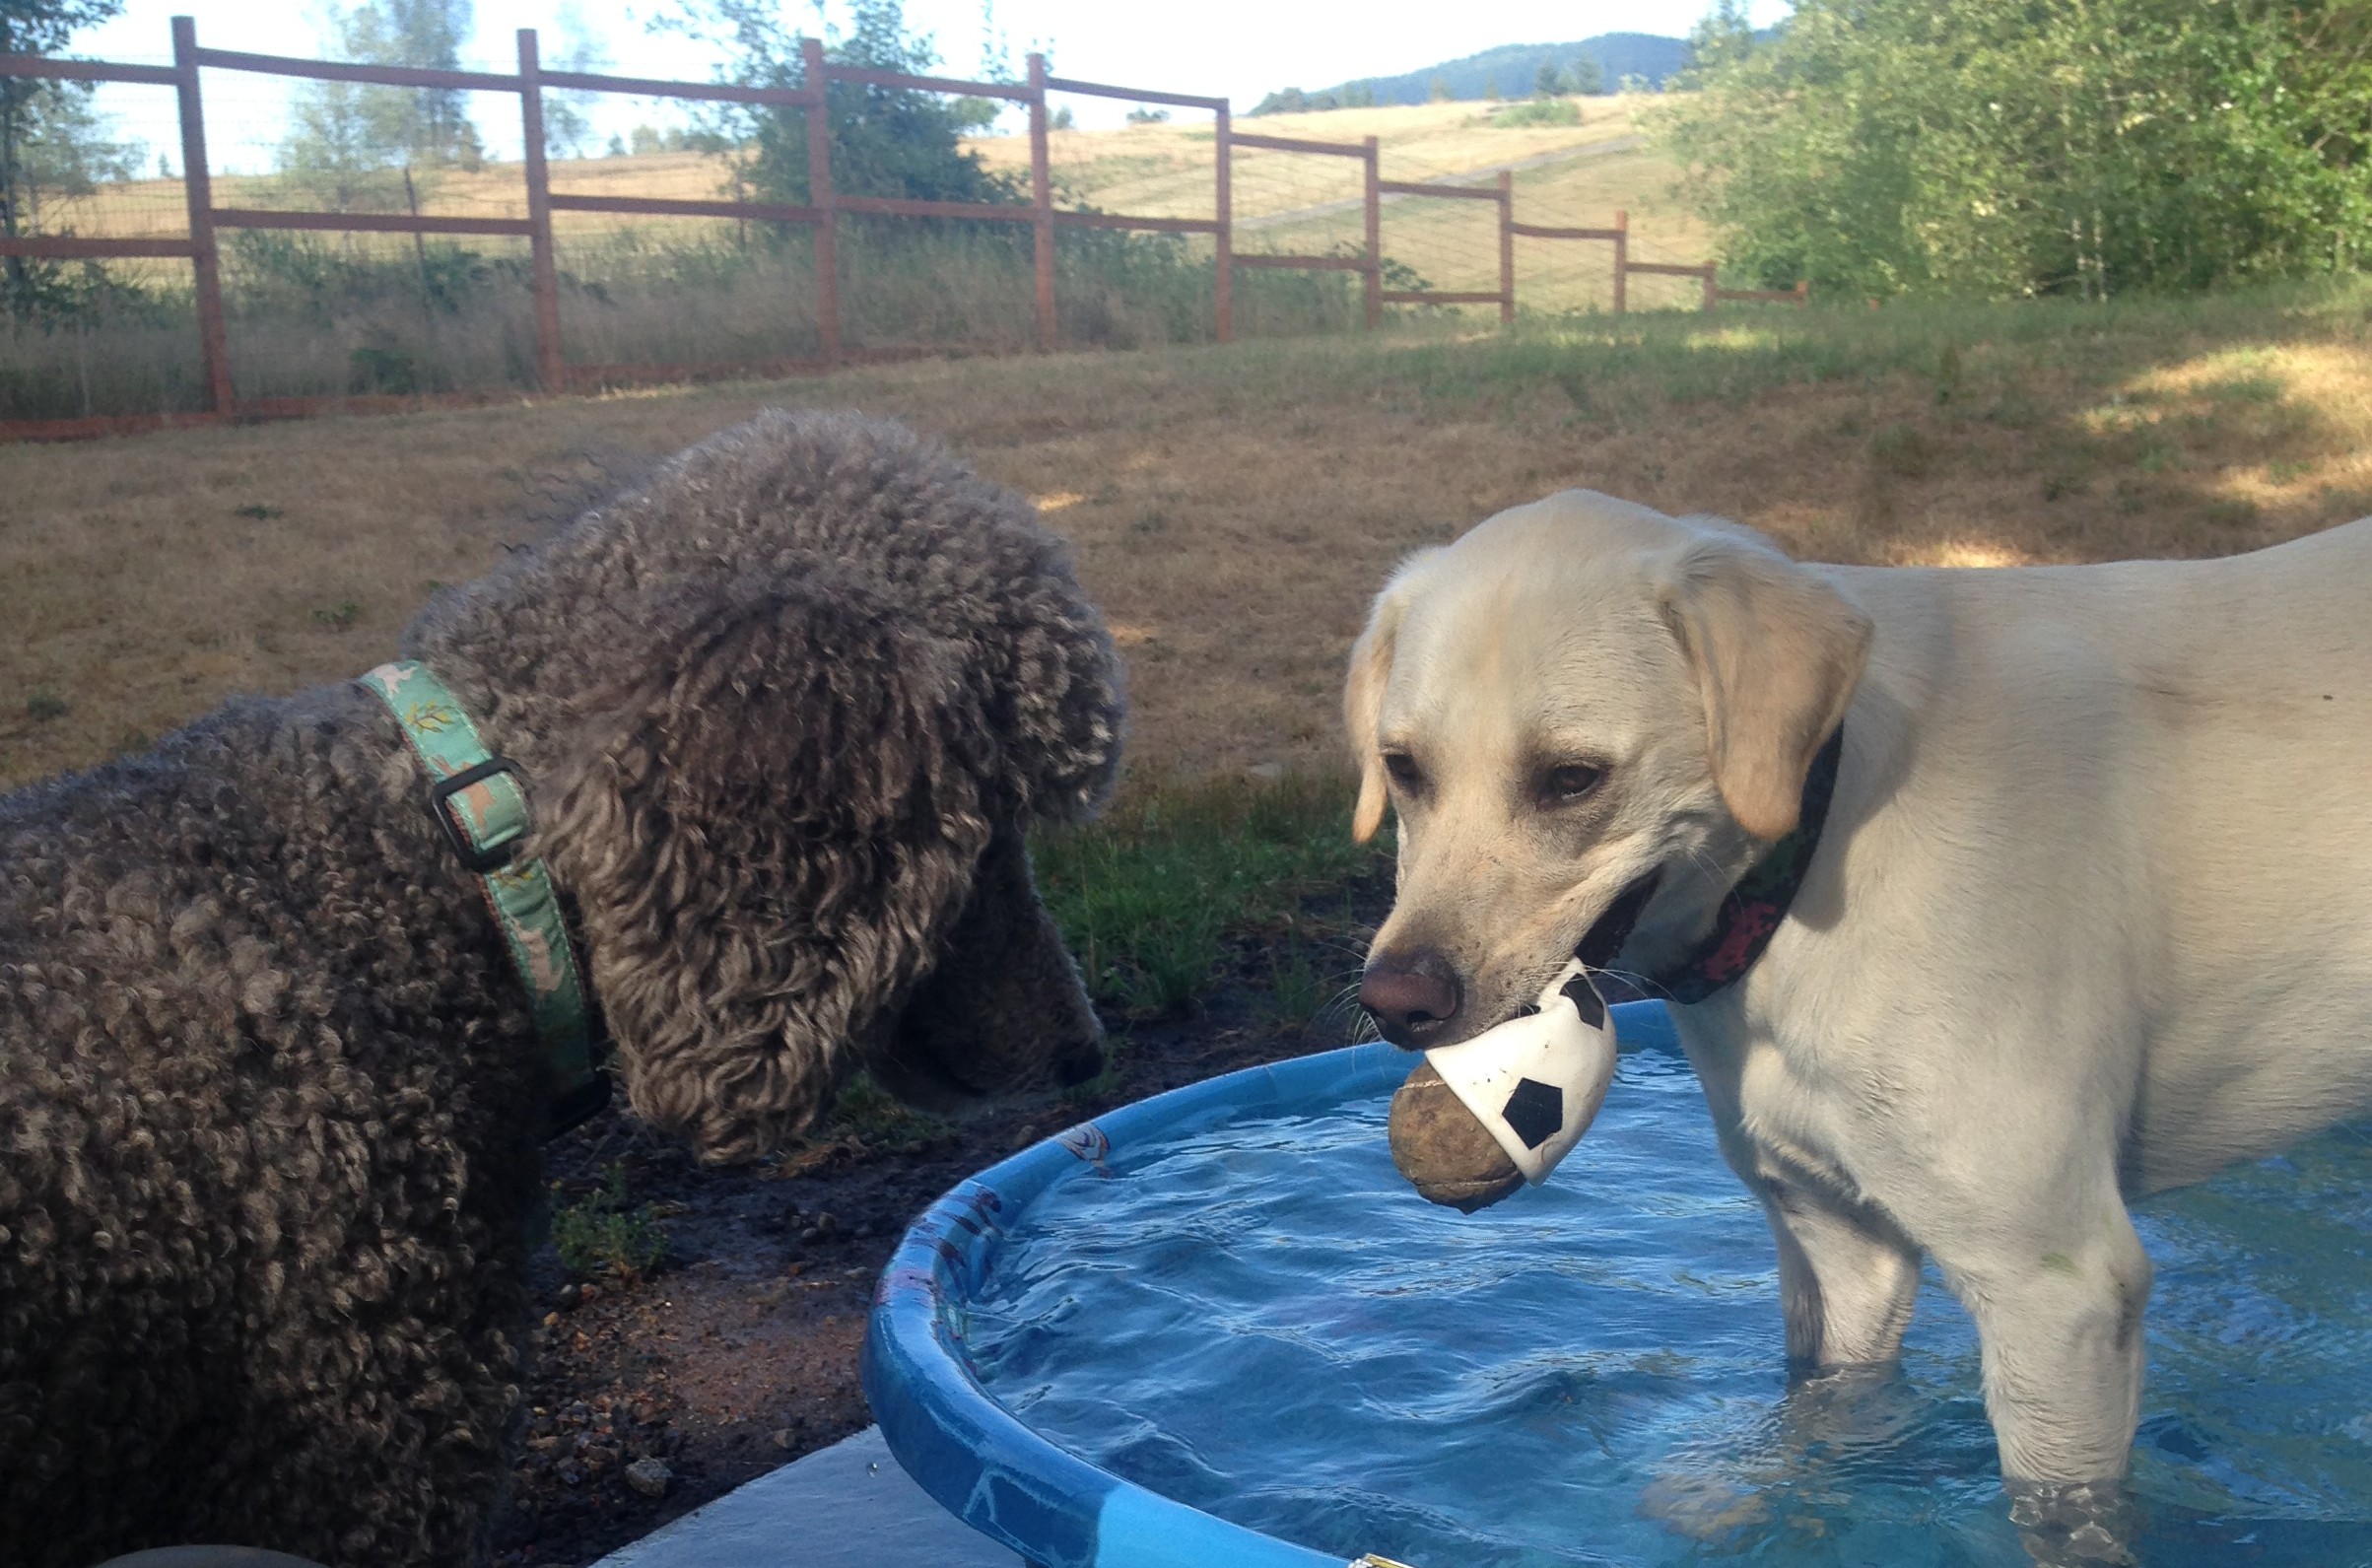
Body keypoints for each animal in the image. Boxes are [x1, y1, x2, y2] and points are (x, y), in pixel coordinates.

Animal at [1346, 490, 2372, 1514]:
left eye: (1570, 778)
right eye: (1403, 768)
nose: (1396, 1002)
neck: (1820, 831)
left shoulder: (2059, 1290)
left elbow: (2057, 1517)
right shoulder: (1834, 1242)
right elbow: (1823, 1419)